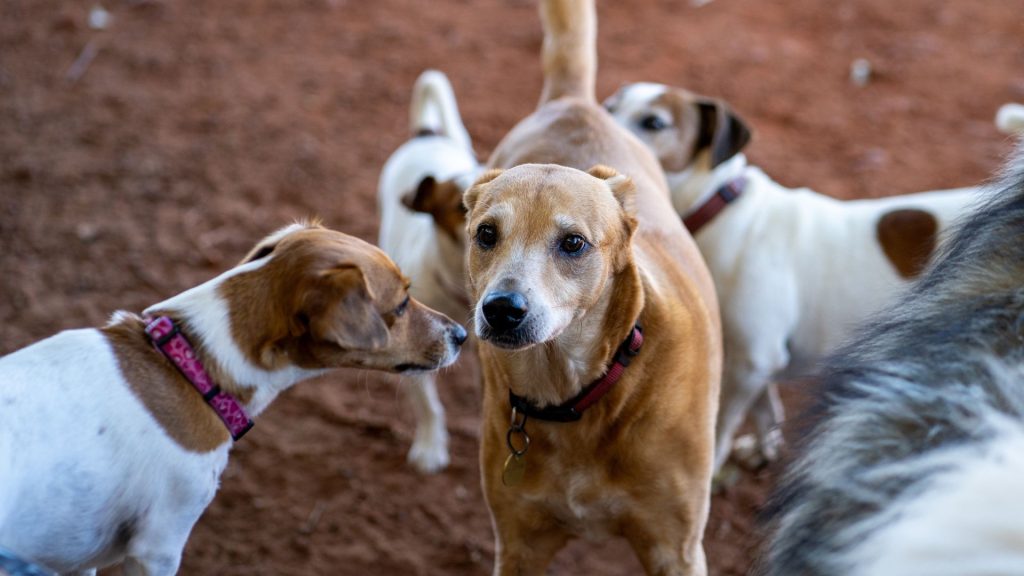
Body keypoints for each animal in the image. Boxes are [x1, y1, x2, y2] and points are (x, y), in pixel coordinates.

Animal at [468, 2, 724, 569]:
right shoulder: (517, 546)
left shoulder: (676, 550)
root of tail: (573, 101)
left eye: (573, 243)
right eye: (486, 234)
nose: (502, 309)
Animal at [602, 80, 987, 469]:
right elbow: (765, 411)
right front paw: (762, 449)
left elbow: (723, 426)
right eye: (610, 106)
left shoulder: (752, 361)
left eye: (653, 123)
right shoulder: (755, 362)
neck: (720, 204)